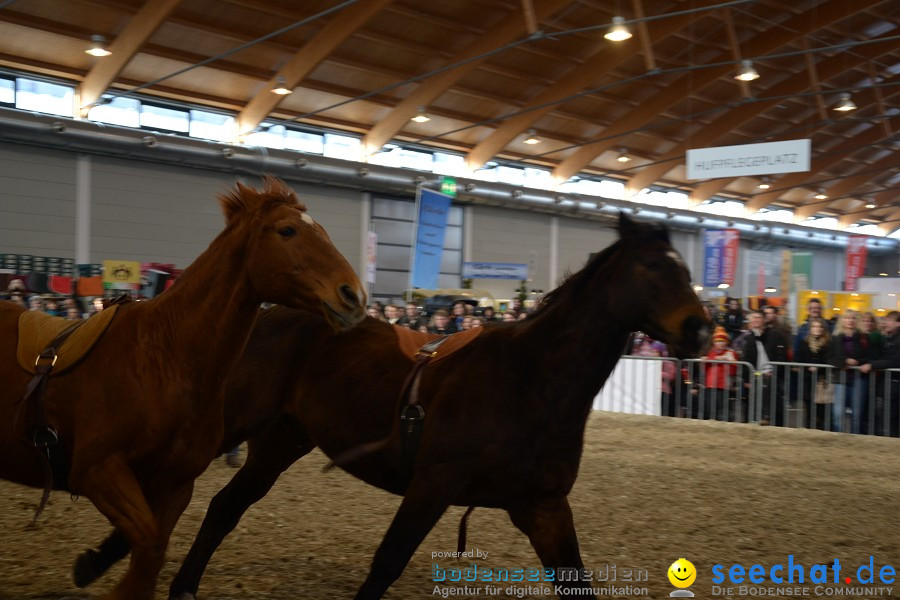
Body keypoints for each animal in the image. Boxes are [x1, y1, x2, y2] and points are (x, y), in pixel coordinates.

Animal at [0, 179, 366, 600]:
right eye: (287, 231)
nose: (354, 296)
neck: (165, 357)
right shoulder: (98, 472)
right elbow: (148, 551)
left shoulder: (174, 487)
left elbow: (151, 553)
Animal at [79, 213, 712, 596]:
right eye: (653, 267)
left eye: (687, 270)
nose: (700, 329)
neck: (529, 384)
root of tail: (263, 312)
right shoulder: (432, 485)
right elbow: (387, 562)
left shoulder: (544, 507)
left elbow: (576, 580)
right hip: (232, 422)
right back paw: (101, 560)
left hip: (282, 440)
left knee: (224, 508)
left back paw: (180, 584)